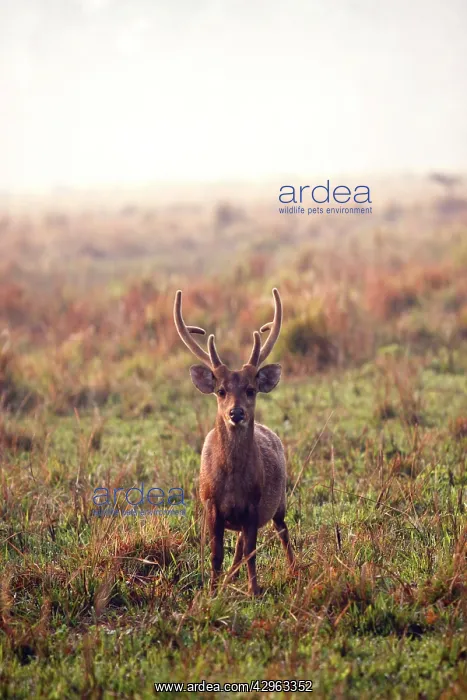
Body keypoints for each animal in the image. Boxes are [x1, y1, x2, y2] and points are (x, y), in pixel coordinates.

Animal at [174, 288, 295, 596]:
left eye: (251, 389)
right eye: (221, 390)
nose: (236, 413)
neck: (232, 482)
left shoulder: (254, 504)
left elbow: (251, 552)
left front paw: (254, 591)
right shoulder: (210, 506)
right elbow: (217, 555)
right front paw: (212, 591)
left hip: (280, 500)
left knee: (283, 531)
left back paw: (294, 569)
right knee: (239, 546)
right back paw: (230, 579)